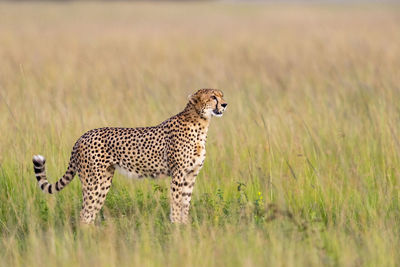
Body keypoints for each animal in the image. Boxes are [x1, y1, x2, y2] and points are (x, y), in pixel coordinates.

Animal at [32, 89, 228, 225]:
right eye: (213, 97)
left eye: (221, 95)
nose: (225, 104)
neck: (201, 122)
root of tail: (82, 136)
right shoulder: (178, 173)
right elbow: (177, 201)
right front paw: (177, 227)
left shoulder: (190, 174)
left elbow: (185, 202)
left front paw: (185, 226)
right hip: (94, 181)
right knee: (84, 214)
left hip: (103, 181)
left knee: (90, 211)